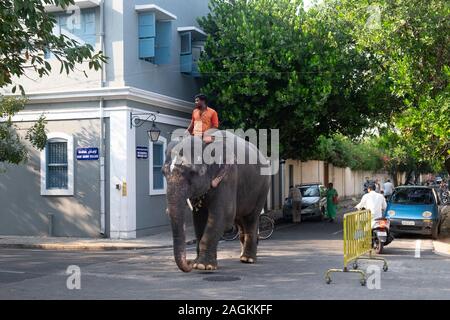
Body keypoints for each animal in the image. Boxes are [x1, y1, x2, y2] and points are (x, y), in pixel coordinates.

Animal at [163, 130, 272, 272]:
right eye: (163, 172)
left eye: (192, 172)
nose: (189, 262)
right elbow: (199, 219)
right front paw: (199, 263)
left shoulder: (228, 177)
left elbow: (223, 216)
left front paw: (203, 266)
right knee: (240, 219)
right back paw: (242, 256)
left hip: (263, 188)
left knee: (250, 219)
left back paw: (248, 259)